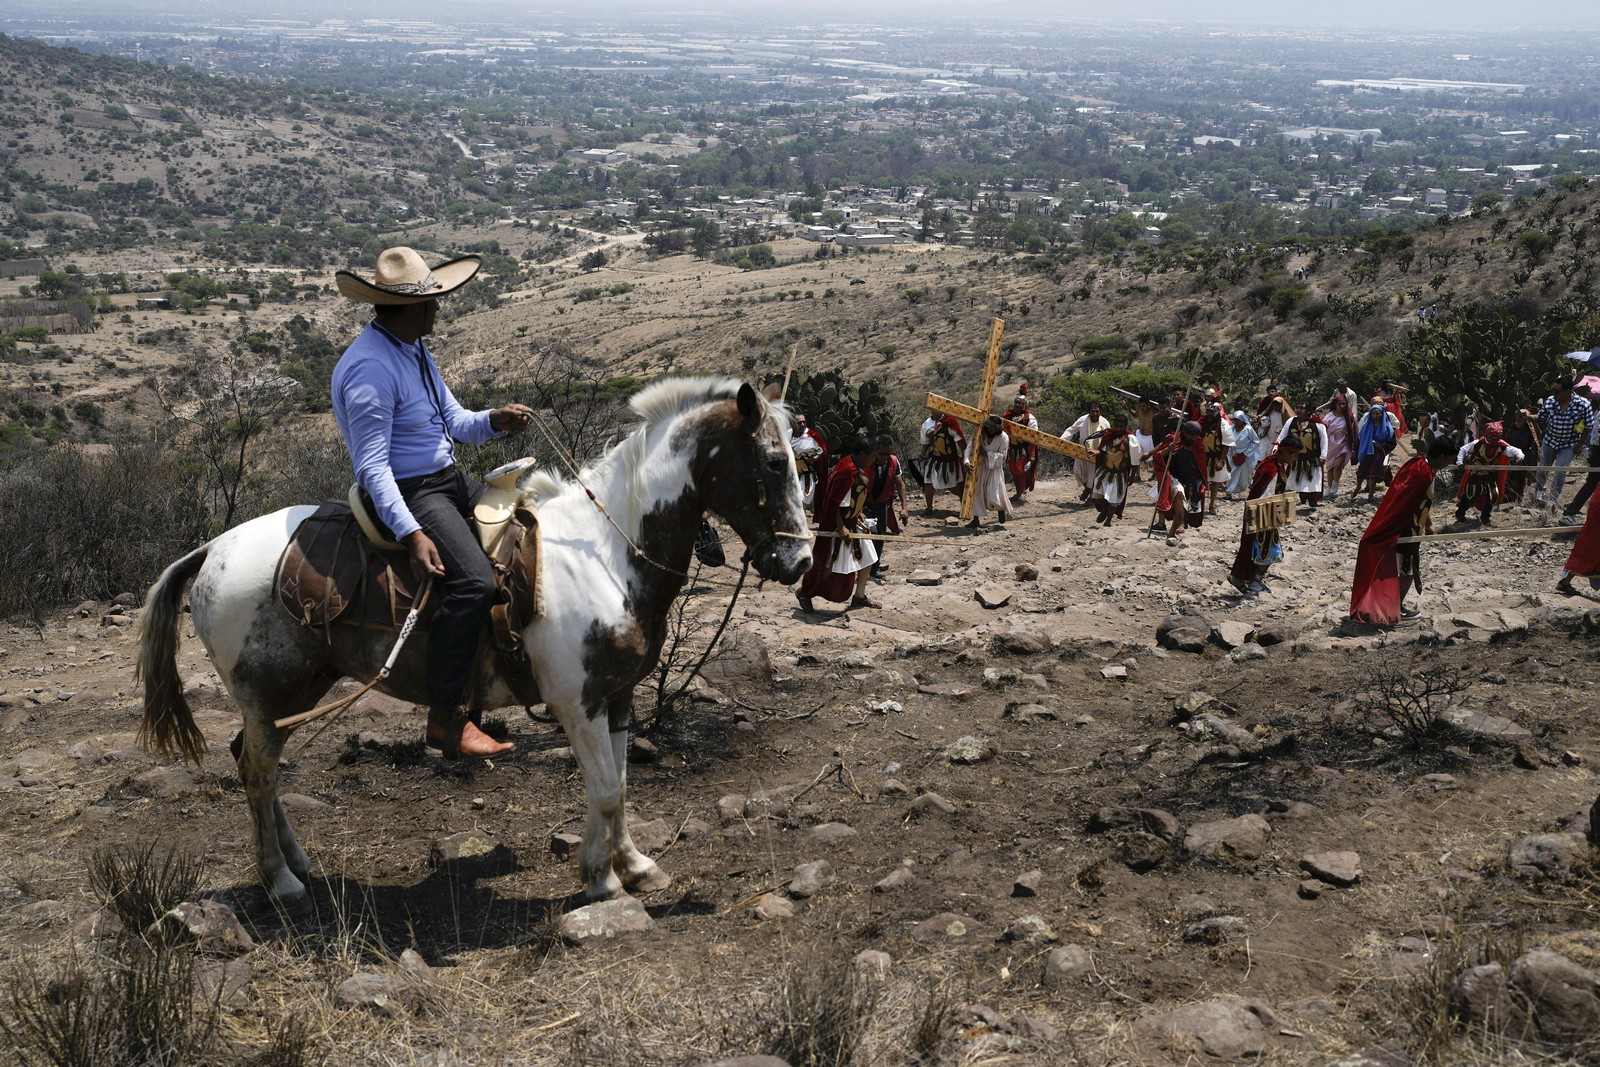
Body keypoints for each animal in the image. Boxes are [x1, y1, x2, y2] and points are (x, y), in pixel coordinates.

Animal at [137, 377, 812, 908]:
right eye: (774, 463)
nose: (800, 560)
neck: (605, 552)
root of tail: (212, 549)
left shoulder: (616, 698)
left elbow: (617, 787)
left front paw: (631, 866)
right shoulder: (578, 702)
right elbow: (605, 788)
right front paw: (601, 879)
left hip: (294, 693)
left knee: (257, 763)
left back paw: (297, 863)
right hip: (268, 693)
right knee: (256, 769)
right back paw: (280, 881)